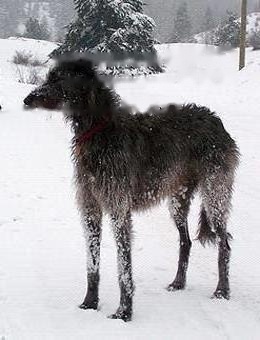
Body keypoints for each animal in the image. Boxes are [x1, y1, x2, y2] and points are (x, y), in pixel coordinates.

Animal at [23, 58, 240, 322]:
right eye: (49, 77)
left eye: (58, 79)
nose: (27, 99)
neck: (99, 130)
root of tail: (216, 120)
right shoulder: (91, 209)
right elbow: (92, 263)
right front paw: (90, 303)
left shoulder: (119, 209)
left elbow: (123, 266)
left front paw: (124, 312)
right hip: (178, 199)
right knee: (185, 241)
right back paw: (178, 283)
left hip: (214, 193)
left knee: (224, 243)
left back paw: (222, 291)